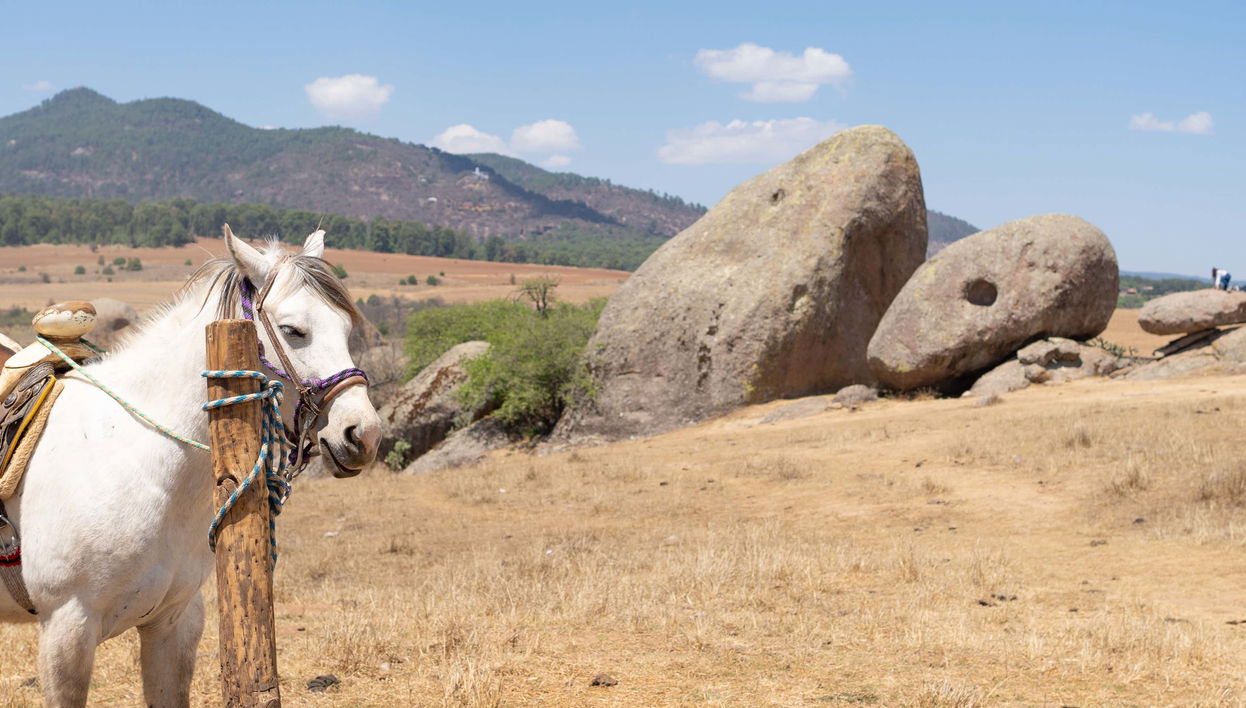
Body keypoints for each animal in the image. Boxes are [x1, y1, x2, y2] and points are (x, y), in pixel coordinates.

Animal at [0, 227, 381, 707]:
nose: (363, 434)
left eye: (347, 328)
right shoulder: (66, 629)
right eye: (293, 330)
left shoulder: (173, 623)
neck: (132, 461)